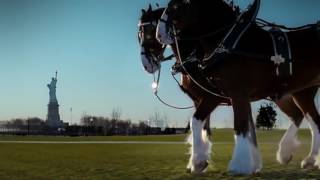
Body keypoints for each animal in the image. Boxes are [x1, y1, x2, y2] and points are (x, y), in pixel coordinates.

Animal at [156, 0, 320, 174]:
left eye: (177, 6)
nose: (159, 35)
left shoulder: (227, 94)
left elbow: (238, 125)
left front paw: (239, 164)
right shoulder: (221, 96)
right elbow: (204, 124)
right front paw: (200, 161)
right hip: (300, 92)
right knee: (311, 120)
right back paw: (303, 158)